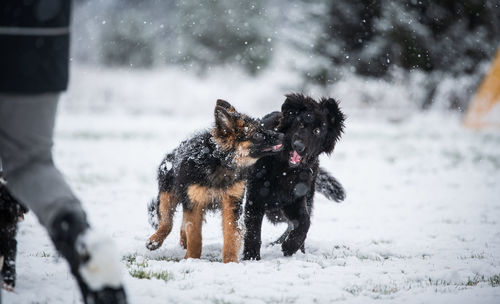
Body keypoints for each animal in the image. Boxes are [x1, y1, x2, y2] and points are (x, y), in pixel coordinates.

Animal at [146, 100, 284, 264]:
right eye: (257, 134)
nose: (282, 135)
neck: (219, 161)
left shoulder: (231, 203)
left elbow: (231, 234)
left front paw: (230, 261)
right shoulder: (194, 202)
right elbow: (195, 235)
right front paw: (192, 259)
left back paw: (182, 240)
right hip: (167, 196)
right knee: (167, 223)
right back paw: (155, 240)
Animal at [242, 94, 344, 260]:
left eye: (317, 131)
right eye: (300, 124)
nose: (298, 146)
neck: (285, 168)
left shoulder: (296, 198)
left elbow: (304, 222)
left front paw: (290, 246)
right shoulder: (255, 197)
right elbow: (253, 230)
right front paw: (251, 256)